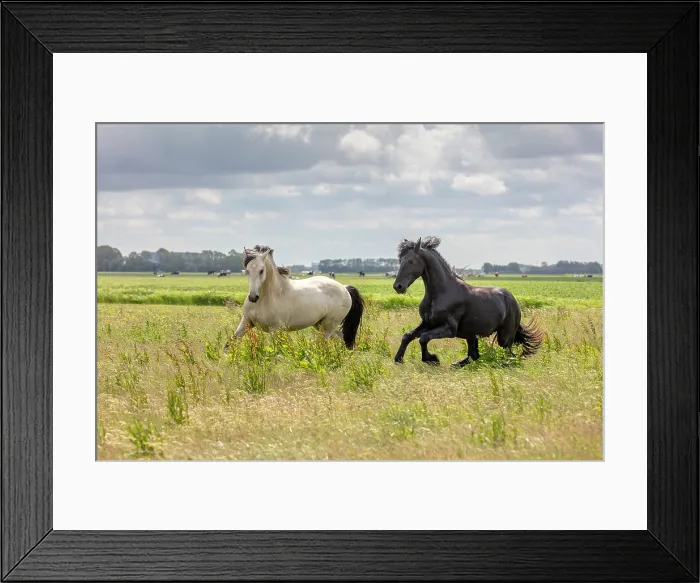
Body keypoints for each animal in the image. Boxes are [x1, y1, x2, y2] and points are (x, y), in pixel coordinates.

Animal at [232, 245, 365, 349]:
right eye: (247, 270)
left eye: (261, 270)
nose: (253, 297)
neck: (269, 297)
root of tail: (344, 288)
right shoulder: (246, 322)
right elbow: (231, 342)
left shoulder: (275, 330)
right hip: (320, 324)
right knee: (341, 338)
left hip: (327, 327)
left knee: (325, 343)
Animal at [392, 237, 545, 367]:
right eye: (401, 261)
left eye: (411, 261)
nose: (398, 286)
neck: (441, 293)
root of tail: (513, 300)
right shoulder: (428, 323)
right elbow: (407, 336)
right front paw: (398, 360)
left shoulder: (449, 329)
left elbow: (423, 338)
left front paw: (433, 359)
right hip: (471, 335)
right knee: (474, 355)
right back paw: (457, 364)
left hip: (504, 336)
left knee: (508, 355)